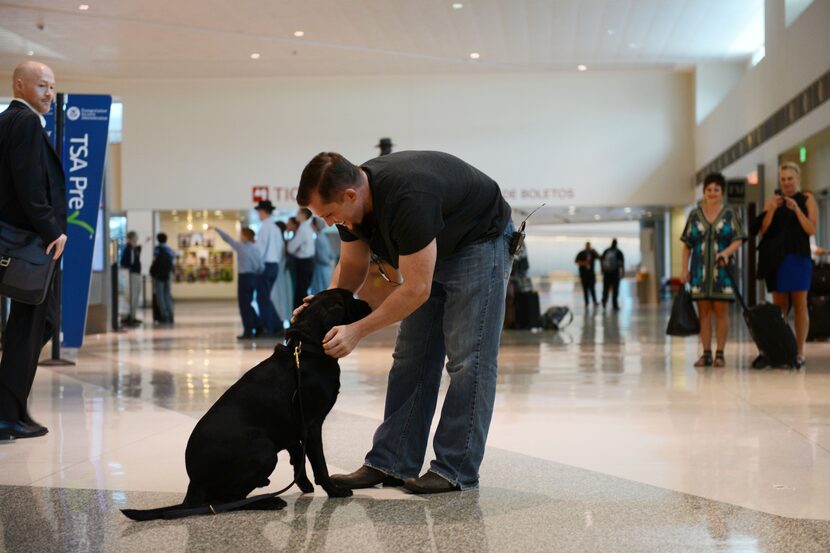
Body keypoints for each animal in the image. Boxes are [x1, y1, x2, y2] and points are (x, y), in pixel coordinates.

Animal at [122, 286, 372, 520]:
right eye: (352, 299)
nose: (369, 303)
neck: (306, 350)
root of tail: (193, 486)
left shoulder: (292, 425)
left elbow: (297, 454)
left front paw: (303, 483)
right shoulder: (311, 425)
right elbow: (319, 464)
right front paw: (334, 490)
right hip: (264, 449)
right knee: (229, 500)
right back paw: (267, 501)